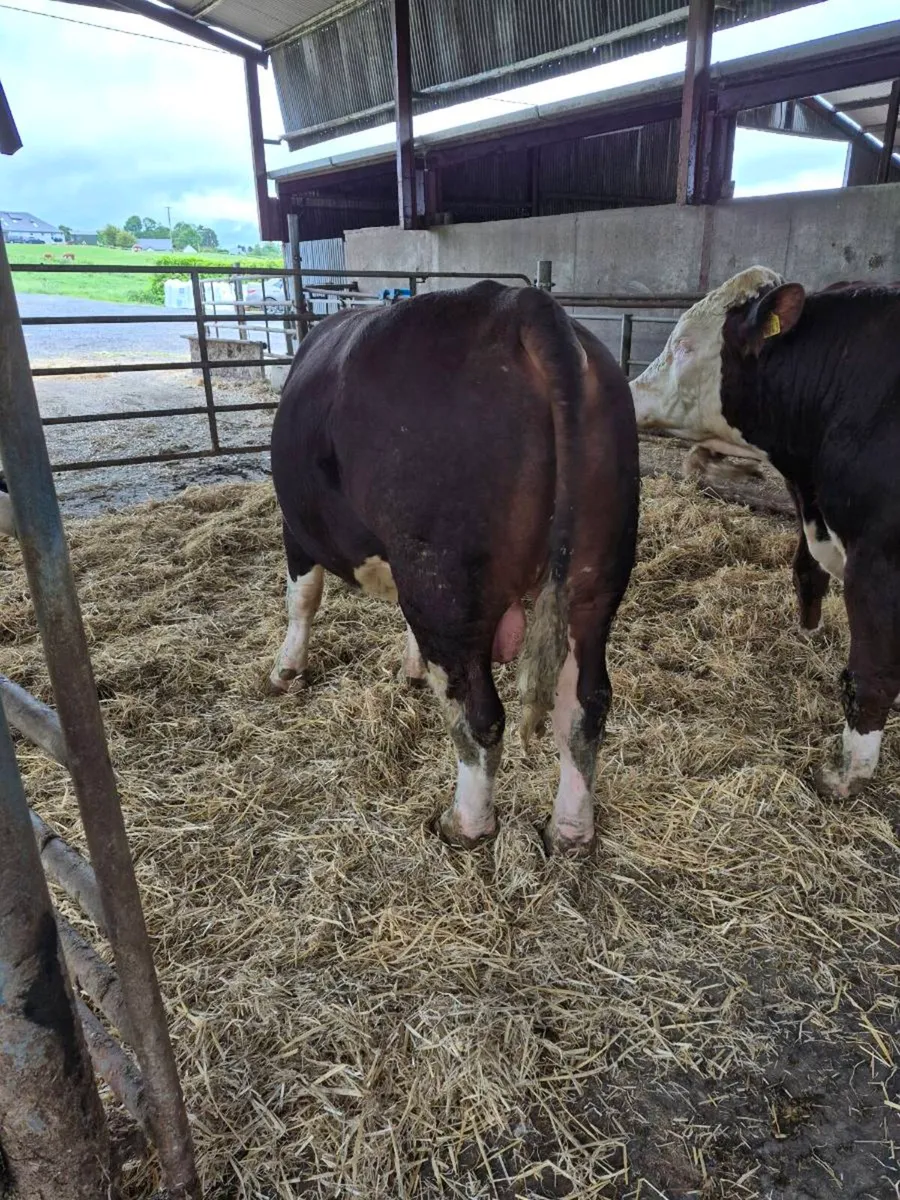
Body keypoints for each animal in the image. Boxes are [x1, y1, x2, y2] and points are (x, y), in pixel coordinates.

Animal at [268, 281, 639, 856]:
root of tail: (515, 304)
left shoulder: (297, 526)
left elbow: (301, 599)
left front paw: (287, 670)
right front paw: (412, 668)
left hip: (445, 582)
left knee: (480, 715)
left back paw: (465, 823)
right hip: (593, 581)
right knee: (585, 704)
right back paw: (570, 830)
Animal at [630, 265, 900, 799]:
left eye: (685, 345)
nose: (625, 391)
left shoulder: (878, 560)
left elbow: (870, 672)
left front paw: (848, 773)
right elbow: (806, 574)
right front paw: (807, 639)